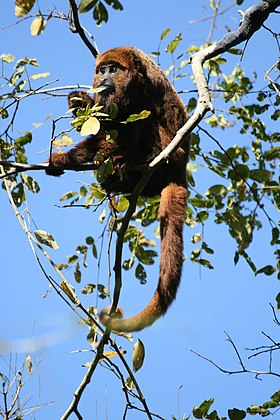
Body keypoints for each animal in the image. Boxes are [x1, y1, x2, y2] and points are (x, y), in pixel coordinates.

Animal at [47, 47, 189, 334]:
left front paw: (66, 157)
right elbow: (105, 124)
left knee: (146, 124)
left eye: (113, 69)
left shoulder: (143, 89)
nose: (103, 78)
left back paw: (137, 160)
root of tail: (181, 169)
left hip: (171, 154)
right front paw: (79, 103)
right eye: (101, 70)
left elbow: (125, 132)